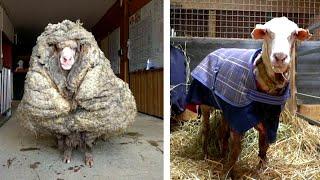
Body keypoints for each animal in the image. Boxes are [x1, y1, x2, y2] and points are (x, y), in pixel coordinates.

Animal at [16, 20, 136, 167]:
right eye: (58, 47)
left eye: (75, 48)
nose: (66, 59)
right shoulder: (63, 119)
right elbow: (68, 137)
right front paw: (67, 155)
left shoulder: (91, 116)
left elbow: (88, 140)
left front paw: (89, 158)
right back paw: (61, 144)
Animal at [186, 16, 312, 177]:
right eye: (267, 32)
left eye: (294, 34)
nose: (280, 57)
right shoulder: (239, 119)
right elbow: (235, 151)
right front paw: (229, 173)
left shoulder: (269, 119)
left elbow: (263, 149)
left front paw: (260, 170)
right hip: (205, 103)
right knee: (206, 128)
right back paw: (206, 154)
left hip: (226, 109)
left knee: (222, 132)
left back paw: (222, 155)